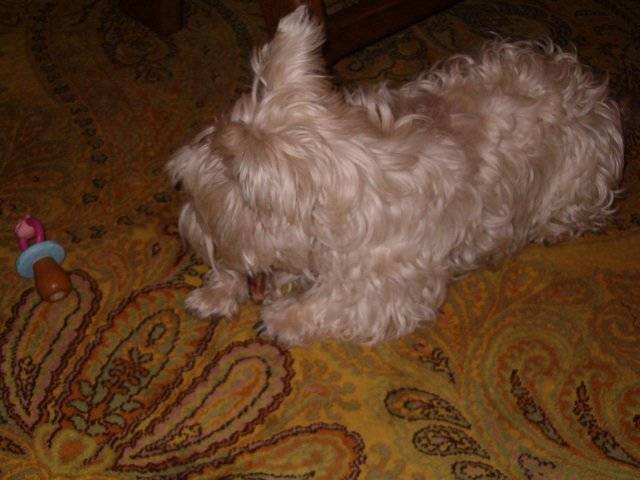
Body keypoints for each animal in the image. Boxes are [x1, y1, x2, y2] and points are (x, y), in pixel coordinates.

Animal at [168, 6, 623, 345]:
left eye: (194, 199)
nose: (188, 230)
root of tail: (581, 79)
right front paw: (217, 290)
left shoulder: (392, 287)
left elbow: (337, 300)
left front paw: (284, 318)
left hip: (578, 176)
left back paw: (554, 228)